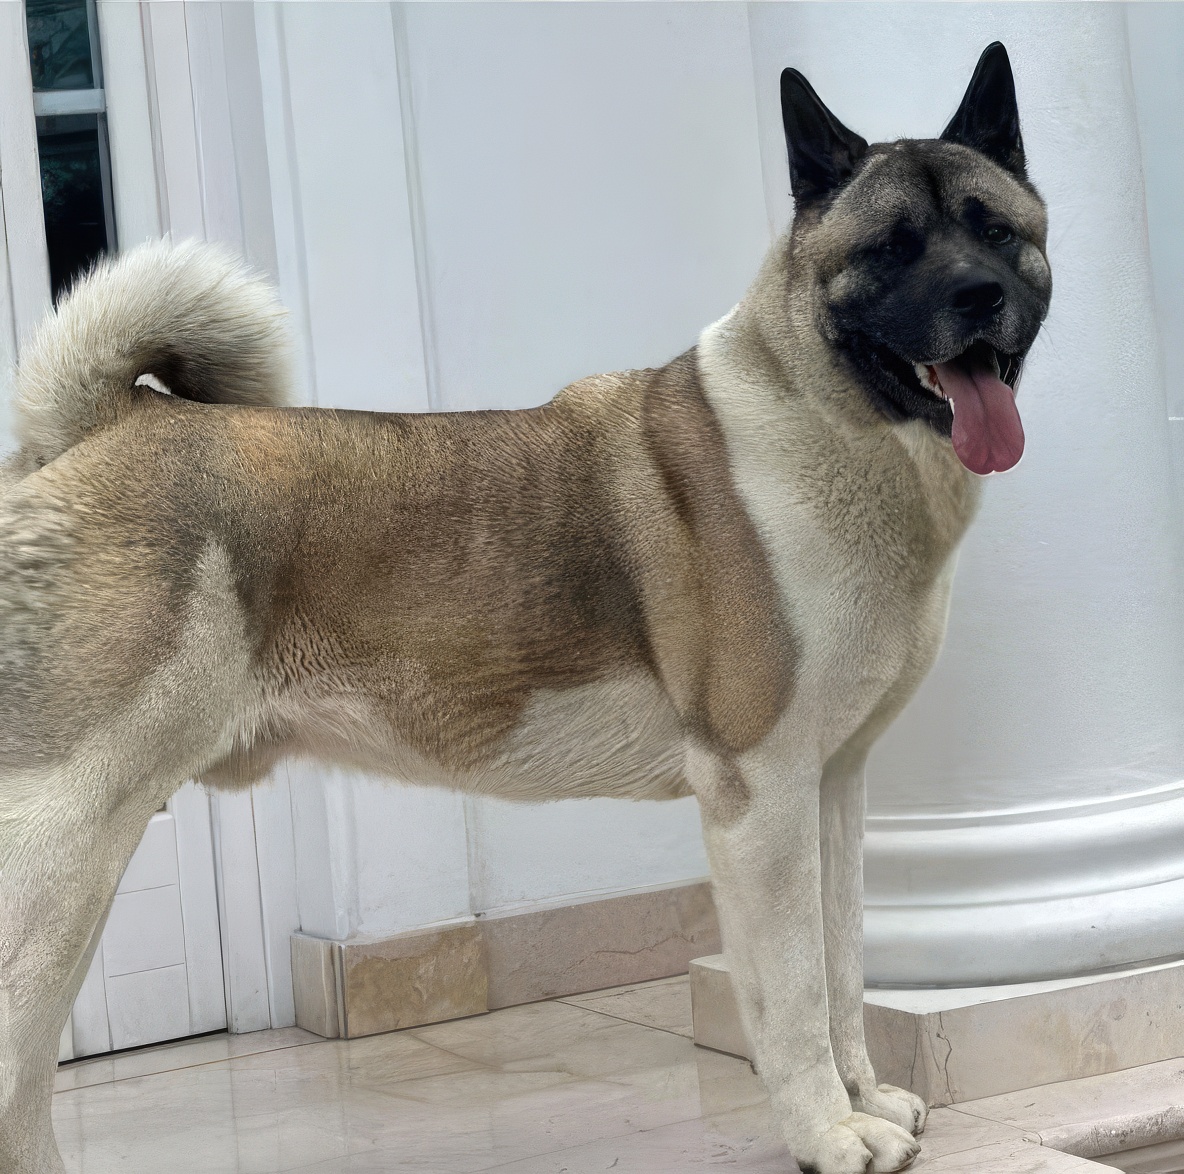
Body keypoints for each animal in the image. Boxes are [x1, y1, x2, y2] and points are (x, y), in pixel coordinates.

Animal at [0, 41, 1049, 1174]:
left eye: (994, 230)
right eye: (891, 249)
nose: (978, 293)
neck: (828, 419)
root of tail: (104, 427)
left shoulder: (832, 785)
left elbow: (845, 958)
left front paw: (862, 1099)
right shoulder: (758, 792)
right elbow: (794, 985)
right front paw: (826, 1131)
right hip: (62, 850)